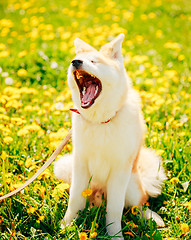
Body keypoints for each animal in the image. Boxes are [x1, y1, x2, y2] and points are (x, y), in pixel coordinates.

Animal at [53, 33, 166, 238]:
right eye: (76, 60)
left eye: (93, 61)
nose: (75, 62)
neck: (101, 122)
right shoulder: (80, 165)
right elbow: (74, 200)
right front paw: (67, 226)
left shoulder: (120, 171)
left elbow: (115, 208)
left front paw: (115, 235)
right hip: (66, 168)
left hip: (132, 185)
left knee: (139, 204)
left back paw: (151, 217)